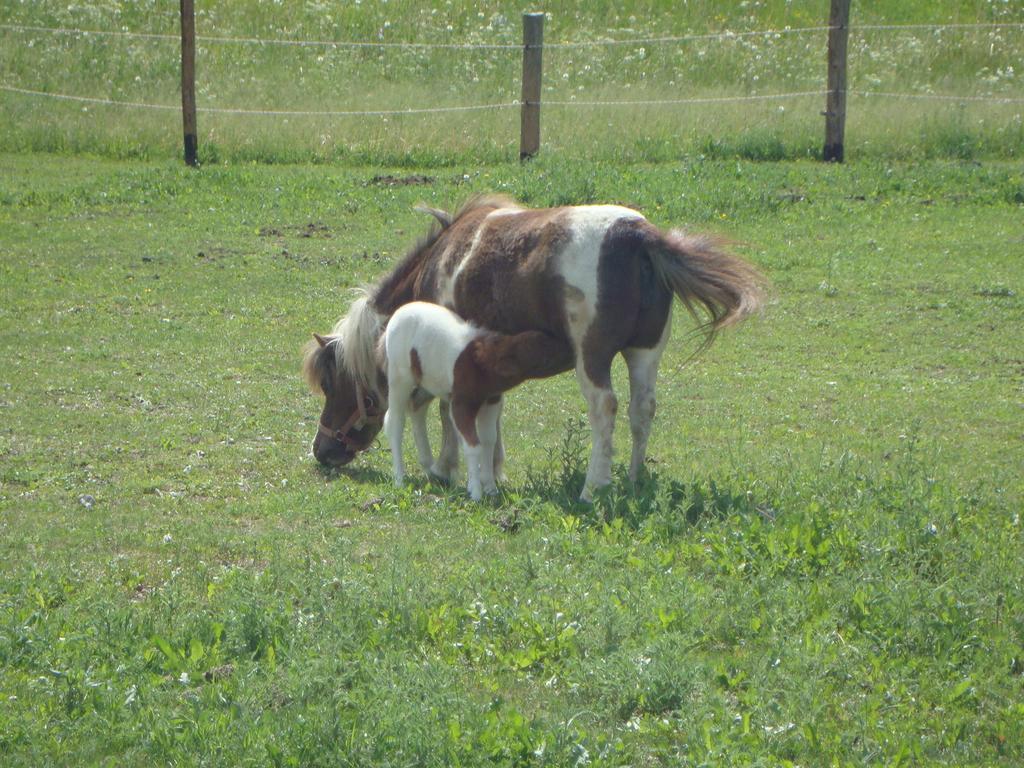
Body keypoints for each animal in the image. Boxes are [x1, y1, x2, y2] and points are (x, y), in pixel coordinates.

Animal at [380, 296, 565, 501]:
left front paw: (490, 488)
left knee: (416, 408)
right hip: (399, 379)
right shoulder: (461, 404)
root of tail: (398, 314)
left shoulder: (491, 401)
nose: (570, 347)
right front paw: (476, 492)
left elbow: (488, 441)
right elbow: (472, 445)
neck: (480, 365)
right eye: (542, 351)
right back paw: (399, 478)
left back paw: (429, 469)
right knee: (395, 422)